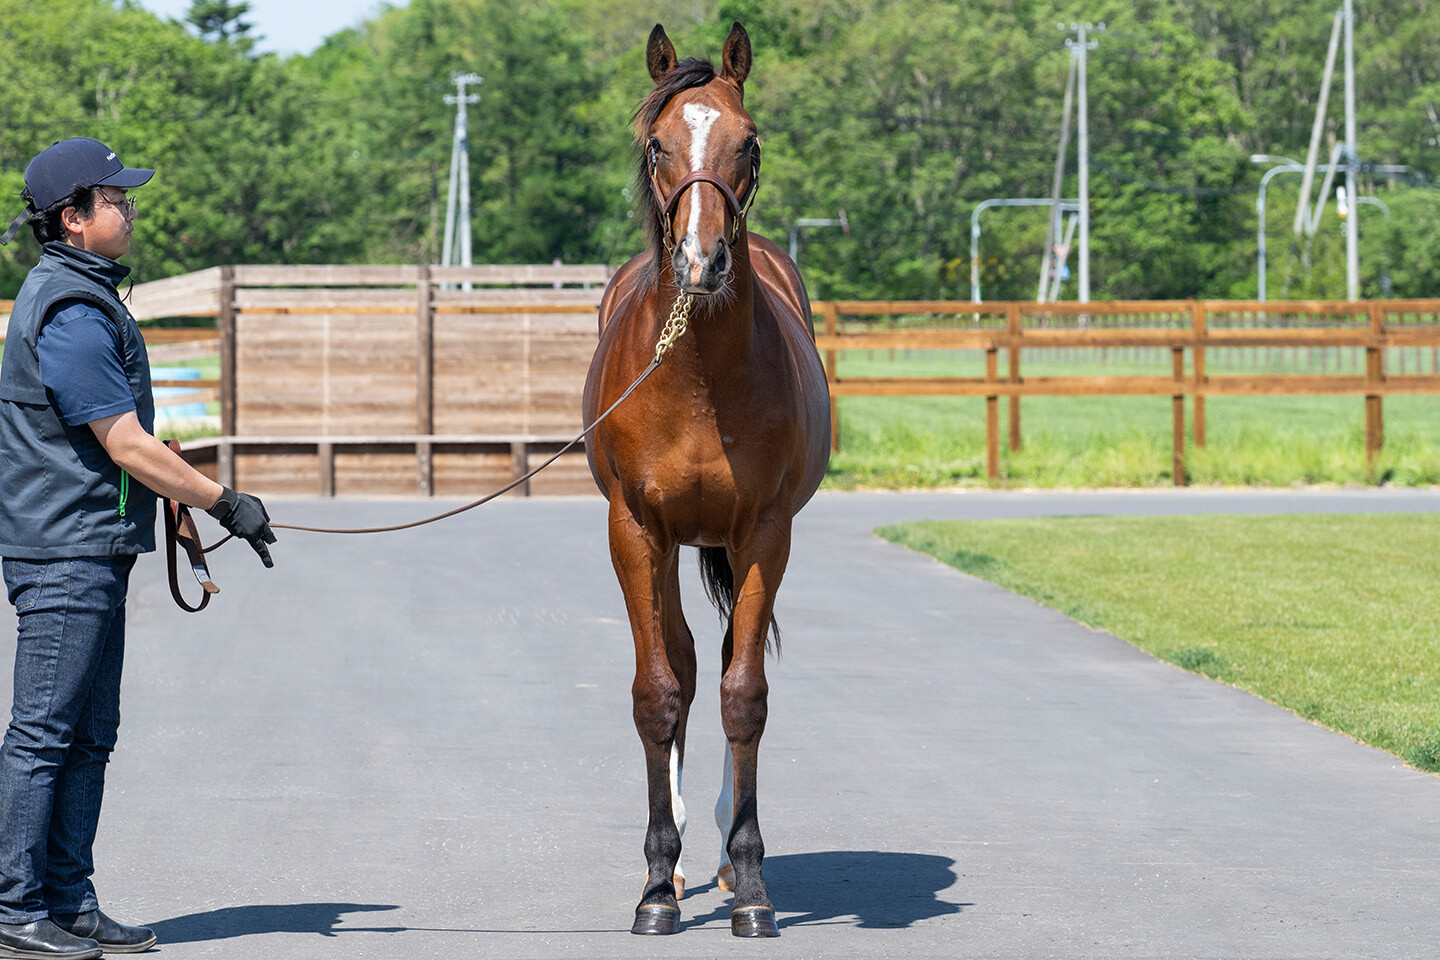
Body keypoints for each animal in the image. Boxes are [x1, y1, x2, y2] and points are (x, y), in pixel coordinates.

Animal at [581, 21, 831, 939]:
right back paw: (685, 858)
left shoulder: (764, 533)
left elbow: (743, 695)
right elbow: (659, 693)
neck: (694, 376)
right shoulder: (634, 531)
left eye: (748, 141)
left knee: (721, 666)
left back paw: (721, 853)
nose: (701, 260)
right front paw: (657, 882)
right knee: (685, 666)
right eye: (658, 143)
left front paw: (751, 883)